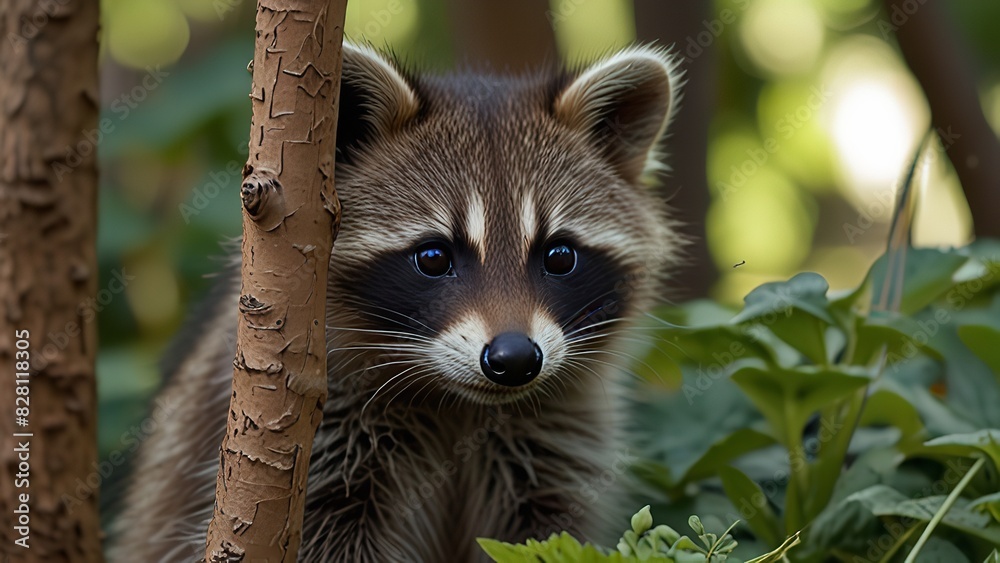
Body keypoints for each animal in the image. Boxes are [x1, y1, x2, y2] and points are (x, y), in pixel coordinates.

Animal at [111, 43, 684, 562]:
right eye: (432, 257)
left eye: (560, 256)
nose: (515, 358)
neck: (460, 404)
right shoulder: (318, 448)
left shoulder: (557, 441)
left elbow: (549, 533)